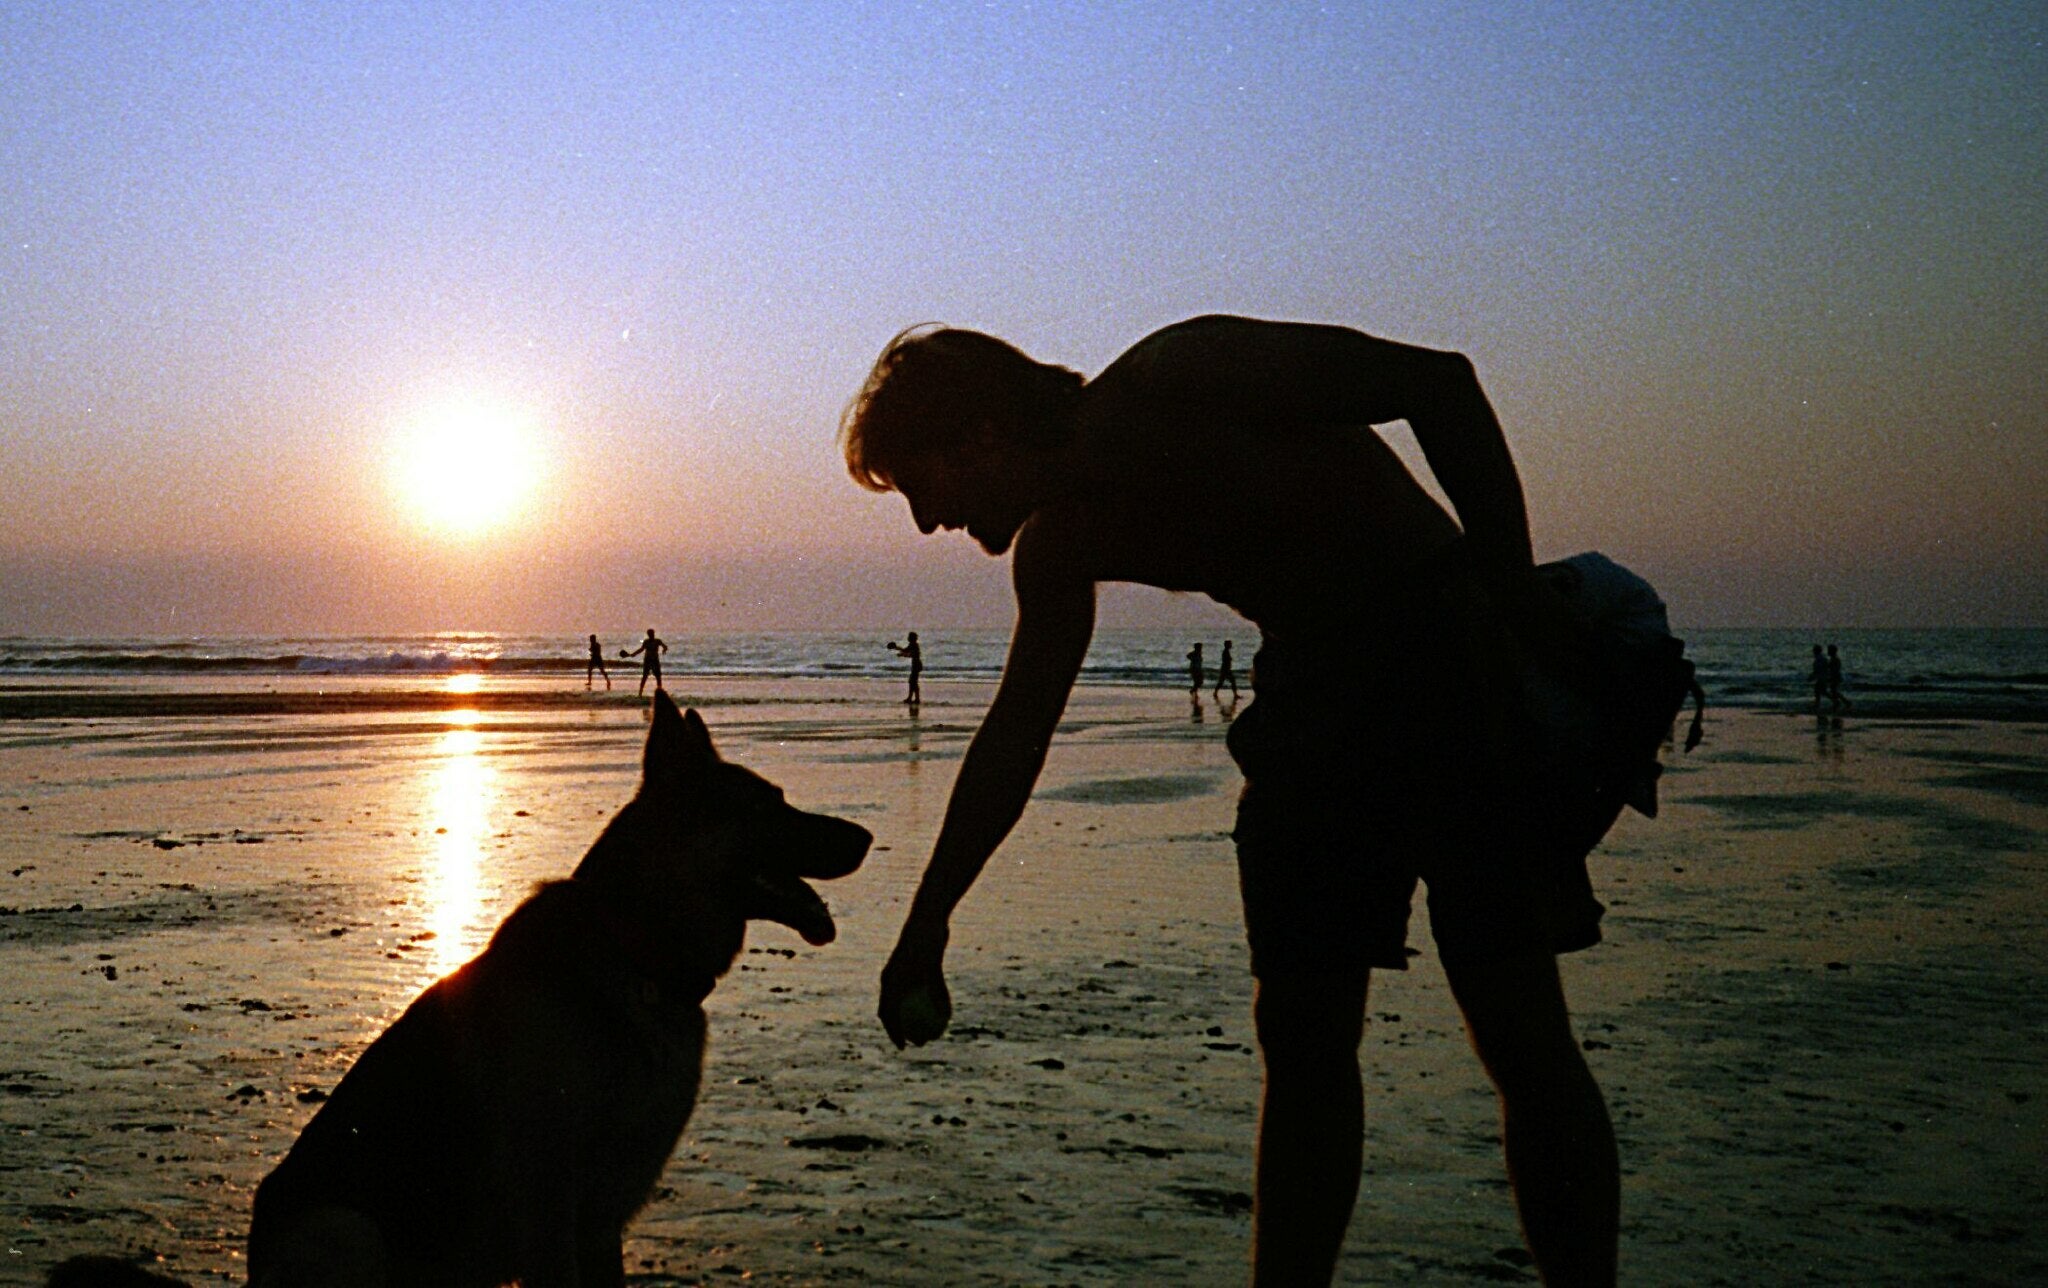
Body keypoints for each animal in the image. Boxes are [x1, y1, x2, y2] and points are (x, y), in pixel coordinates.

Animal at [54, 692, 872, 1285]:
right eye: (770, 807)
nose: (865, 837)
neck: (633, 945)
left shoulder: (604, 1220)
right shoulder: (554, 1212)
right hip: (346, 1231)